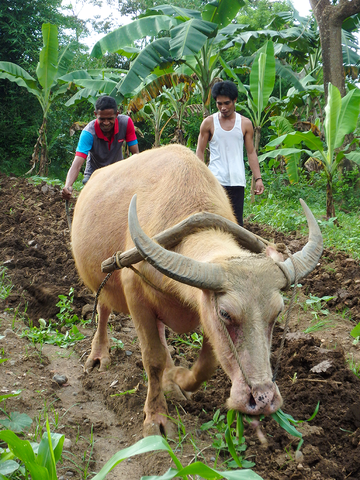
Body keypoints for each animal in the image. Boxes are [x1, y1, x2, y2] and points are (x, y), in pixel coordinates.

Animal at [71, 144, 324, 436]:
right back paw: (99, 356)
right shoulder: (137, 300)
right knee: (103, 310)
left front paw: (177, 378)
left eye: (277, 314)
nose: (263, 399)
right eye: (226, 314)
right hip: (99, 281)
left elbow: (207, 364)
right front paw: (156, 417)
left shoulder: (204, 310)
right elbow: (153, 359)